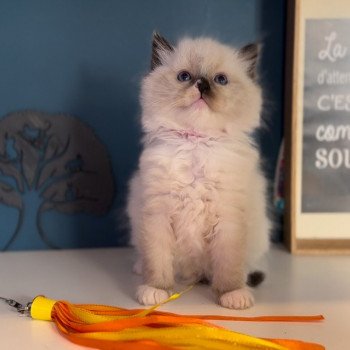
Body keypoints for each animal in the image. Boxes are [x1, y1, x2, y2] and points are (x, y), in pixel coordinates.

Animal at [127, 32, 270, 310]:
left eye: (220, 80)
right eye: (185, 77)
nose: (202, 85)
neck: (197, 143)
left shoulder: (229, 218)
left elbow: (229, 266)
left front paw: (232, 295)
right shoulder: (158, 213)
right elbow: (157, 260)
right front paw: (155, 290)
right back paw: (139, 268)